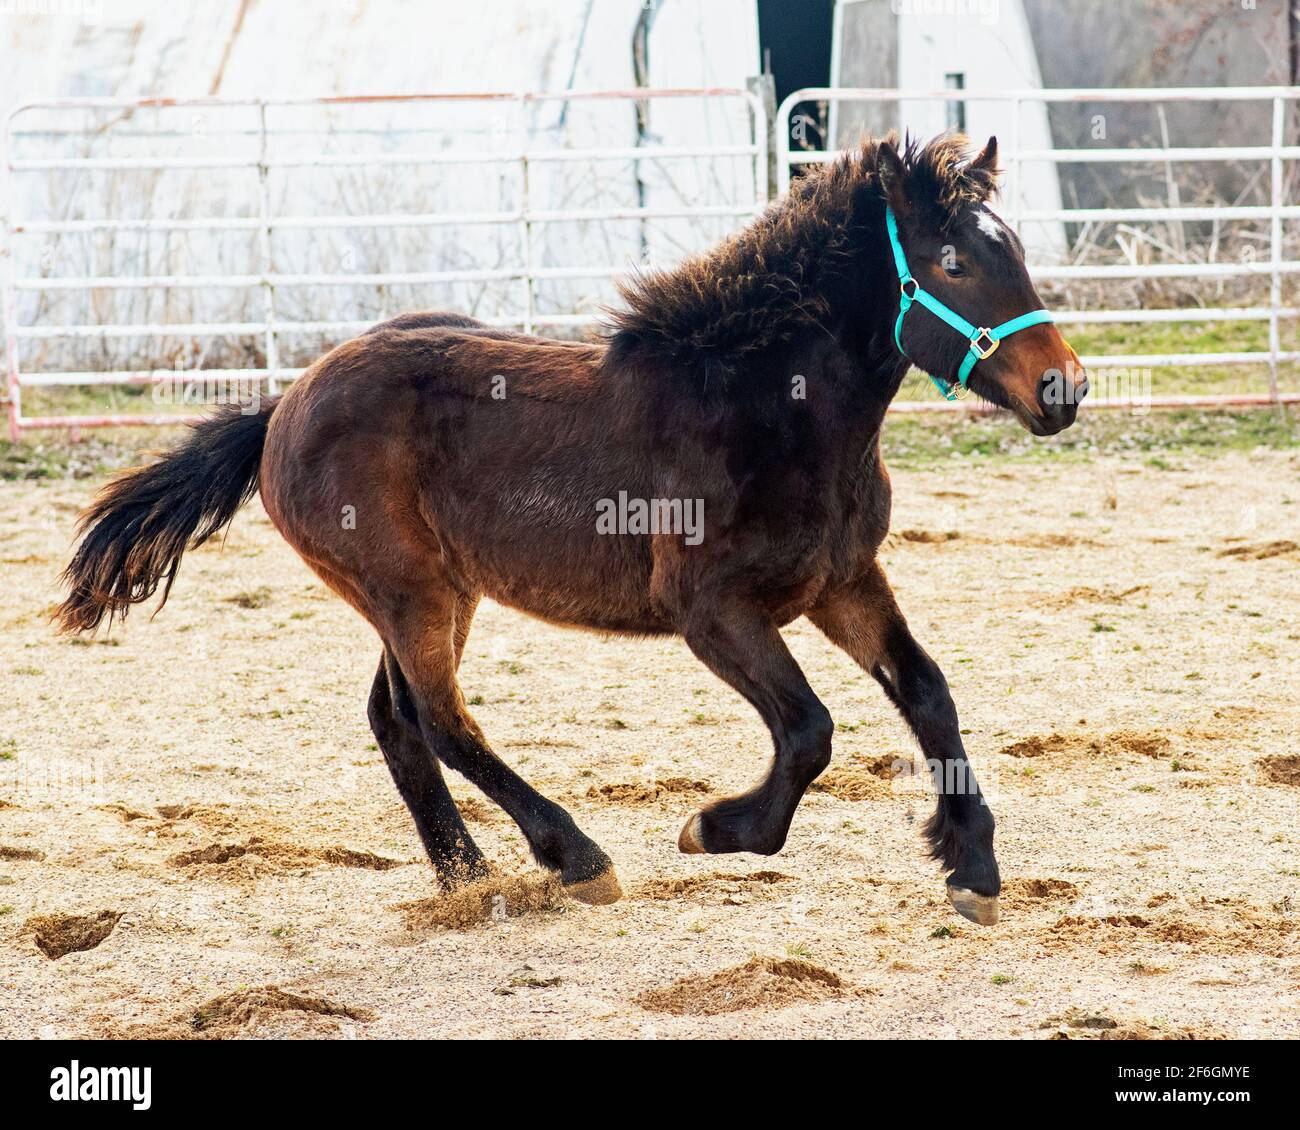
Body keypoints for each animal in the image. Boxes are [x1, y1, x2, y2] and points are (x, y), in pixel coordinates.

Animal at [56, 133, 1087, 926]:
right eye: (954, 263)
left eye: (1014, 249)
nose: (1063, 389)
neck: (768, 406)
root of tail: (279, 408)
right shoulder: (713, 611)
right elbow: (809, 729)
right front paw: (716, 829)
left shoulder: (841, 581)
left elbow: (927, 693)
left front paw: (974, 870)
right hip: (408, 590)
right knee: (441, 719)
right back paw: (576, 858)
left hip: (435, 592)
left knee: (396, 717)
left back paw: (470, 877)